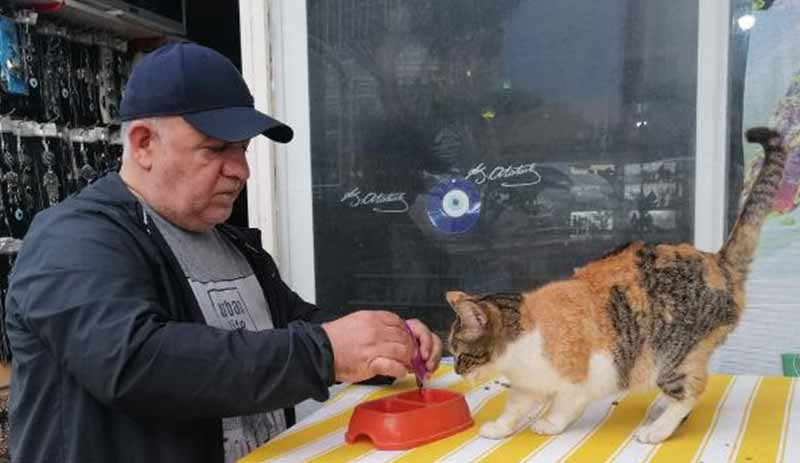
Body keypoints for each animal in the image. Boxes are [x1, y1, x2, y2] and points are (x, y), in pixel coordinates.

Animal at [446, 126, 792, 442]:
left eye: (459, 351)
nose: (456, 371)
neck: (526, 334)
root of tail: (717, 260)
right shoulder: (525, 385)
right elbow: (514, 407)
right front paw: (500, 428)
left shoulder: (578, 381)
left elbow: (564, 405)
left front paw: (548, 424)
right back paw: (660, 410)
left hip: (670, 356)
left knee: (692, 390)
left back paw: (658, 429)